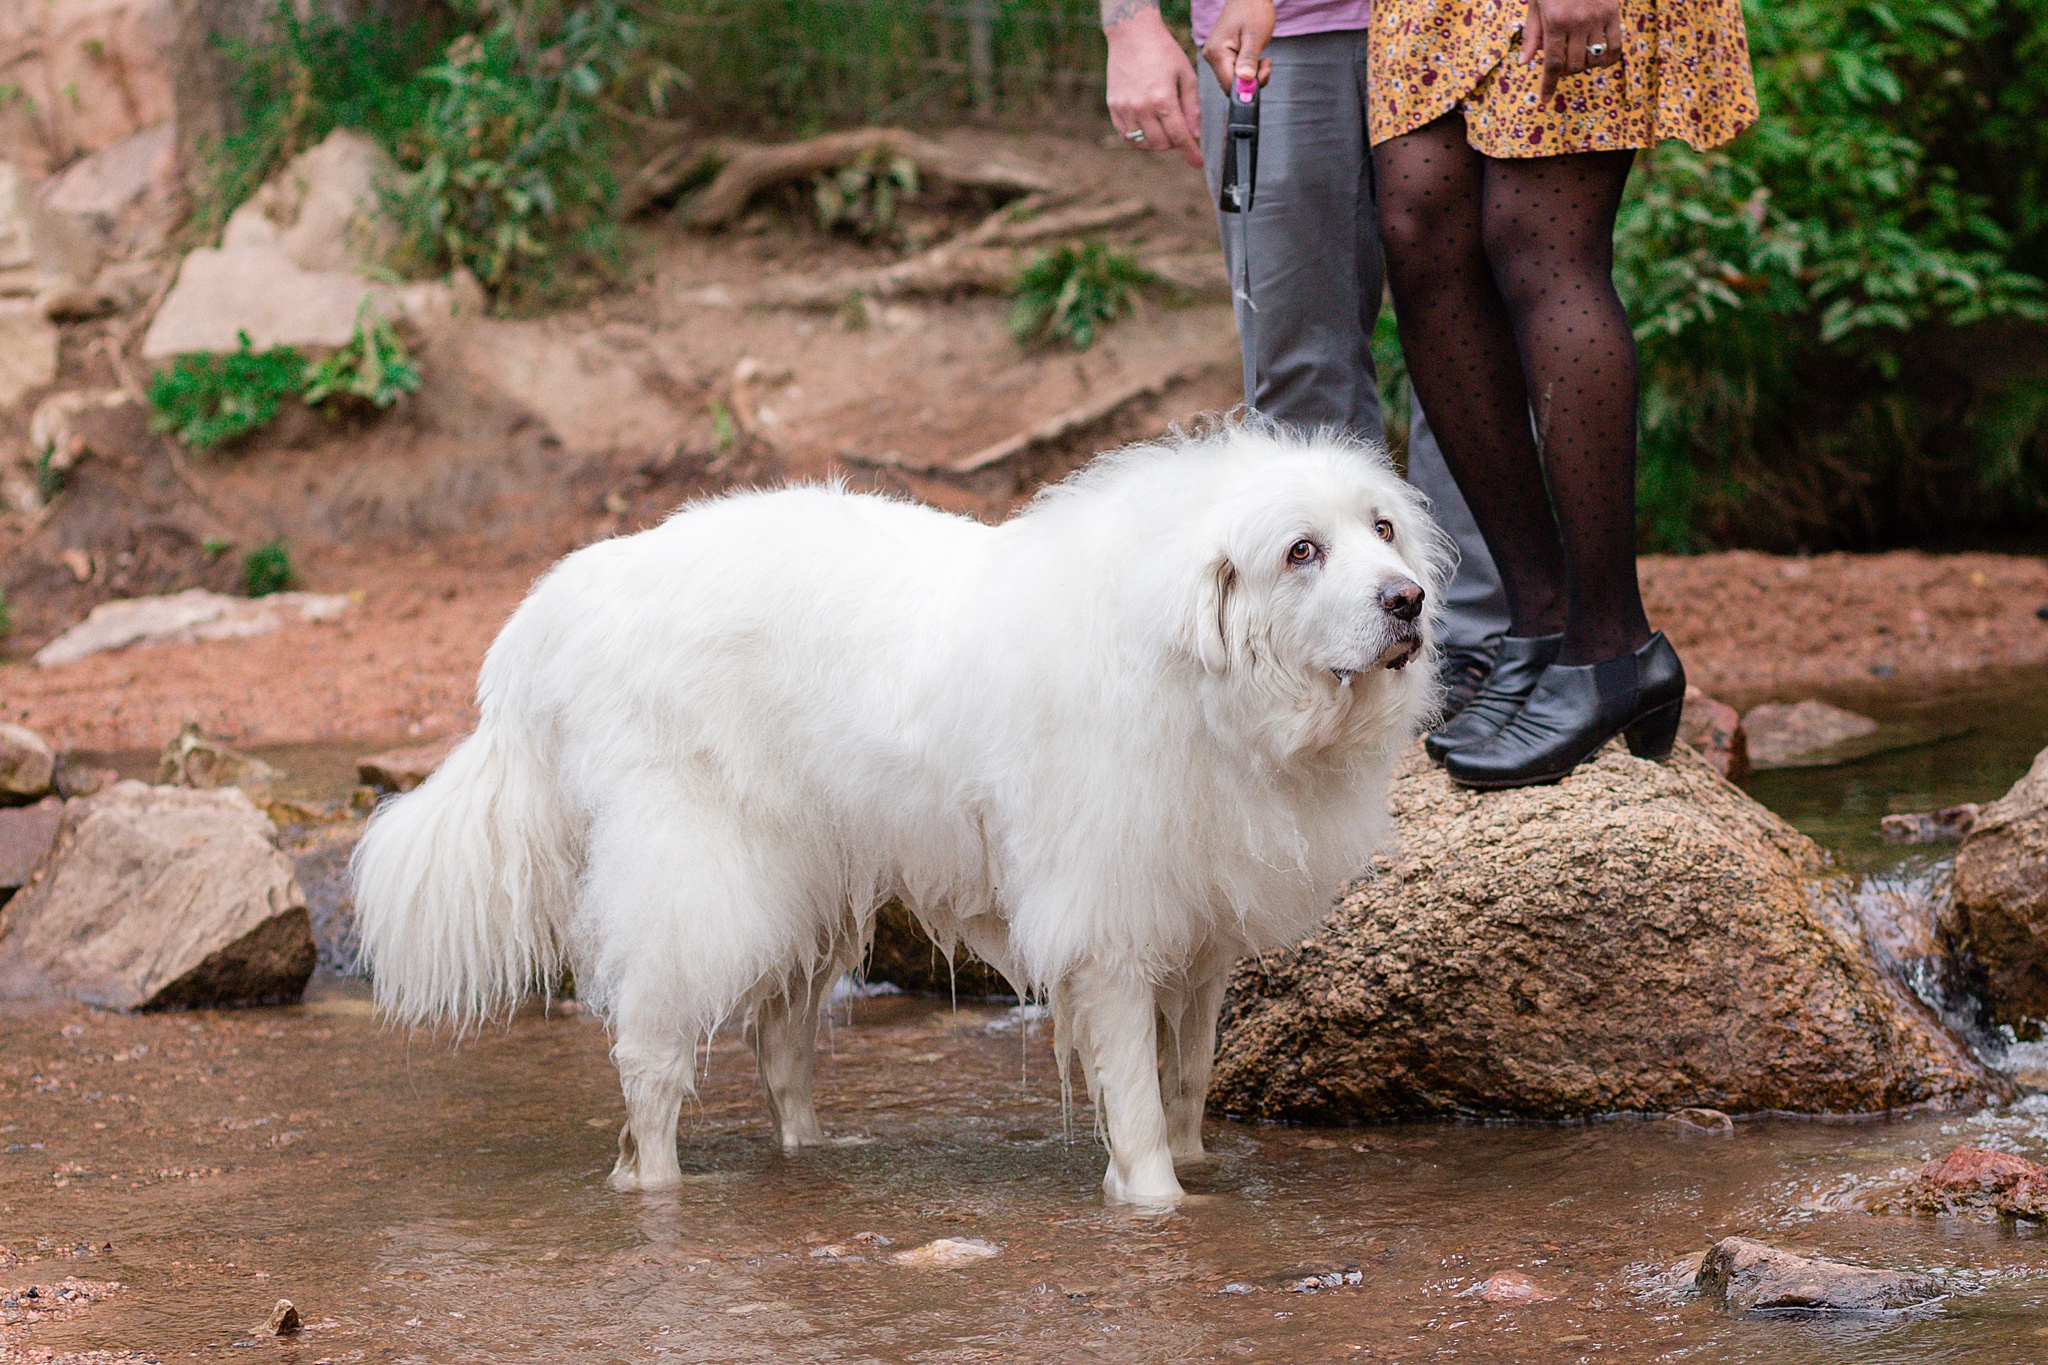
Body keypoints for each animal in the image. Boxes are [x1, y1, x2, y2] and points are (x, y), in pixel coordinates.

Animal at [348, 423, 1441, 1203]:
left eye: (1381, 529)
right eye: (1301, 551)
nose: (1409, 601)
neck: (1200, 673)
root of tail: (568, 591)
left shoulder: (1198, 929)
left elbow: (1187, 1078)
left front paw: (1199, 1167)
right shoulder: (1108, 930)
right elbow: (1133, 1097)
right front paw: (1157, 1200)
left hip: (811, 882)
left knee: (778, 1041)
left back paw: (815, 1151)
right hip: (701, 876)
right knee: (649, 1055)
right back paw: (655, 1184)